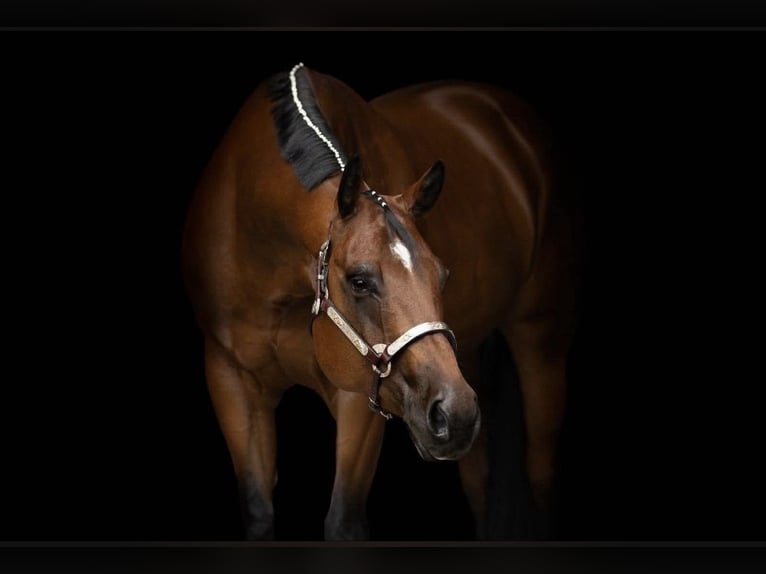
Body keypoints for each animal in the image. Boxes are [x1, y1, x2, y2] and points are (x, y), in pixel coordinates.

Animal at [181, 62, 579, 540]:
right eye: (359, 281)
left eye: (442, 276)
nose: (454, 412)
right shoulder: (231, 378)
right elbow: (259, 513)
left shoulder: (359, 394)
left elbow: (343, 520)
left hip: (540, 338)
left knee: (540, 473)